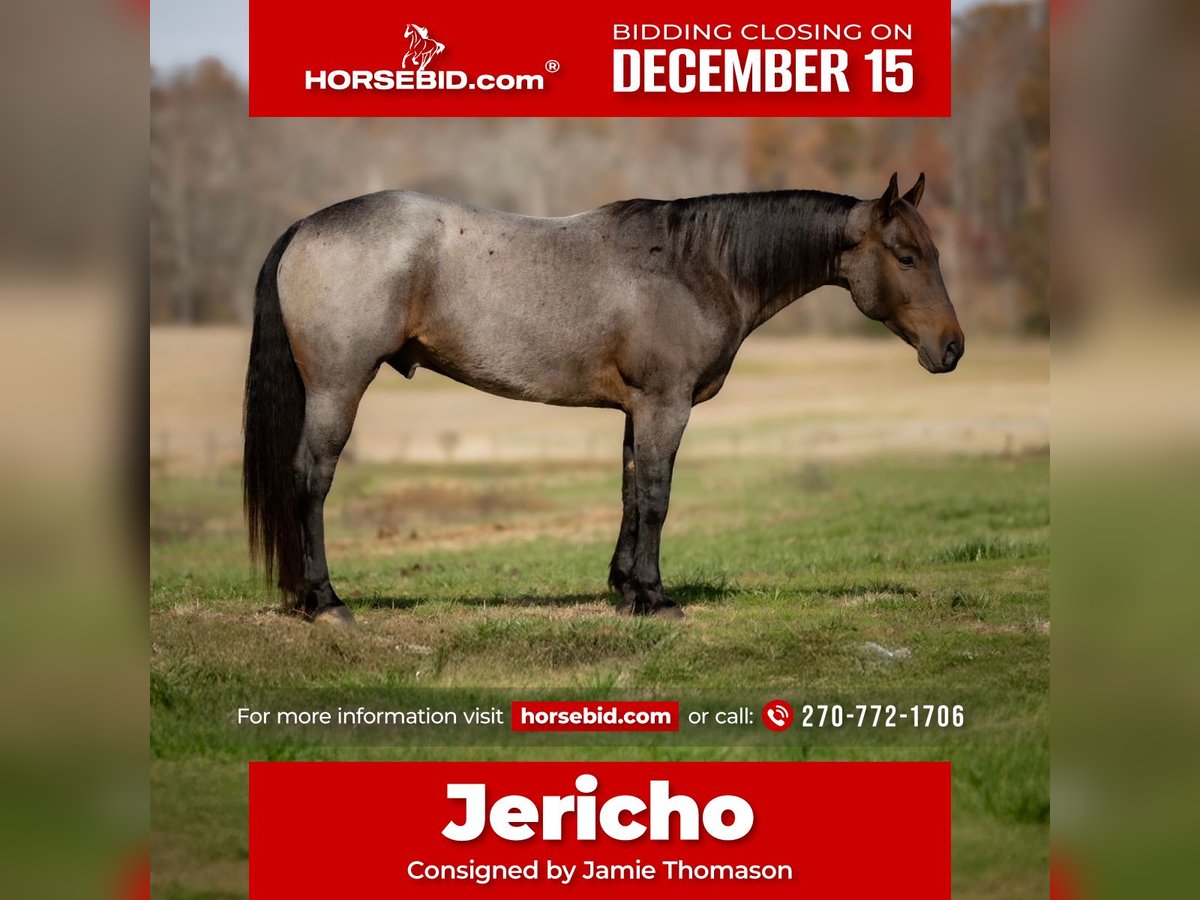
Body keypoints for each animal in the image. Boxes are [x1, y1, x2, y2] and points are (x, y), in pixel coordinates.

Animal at [243, 174, 964, 624]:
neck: (694, 265)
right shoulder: (665, 405)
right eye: (905, 256)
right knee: (311, 480)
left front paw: (626, 590)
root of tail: (306, 225)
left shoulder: (636, 410)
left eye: (932, 251)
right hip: (338, 388)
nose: (952, 347)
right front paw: (656, 597)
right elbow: (655, 498)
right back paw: (326, 600)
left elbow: (629, 491)